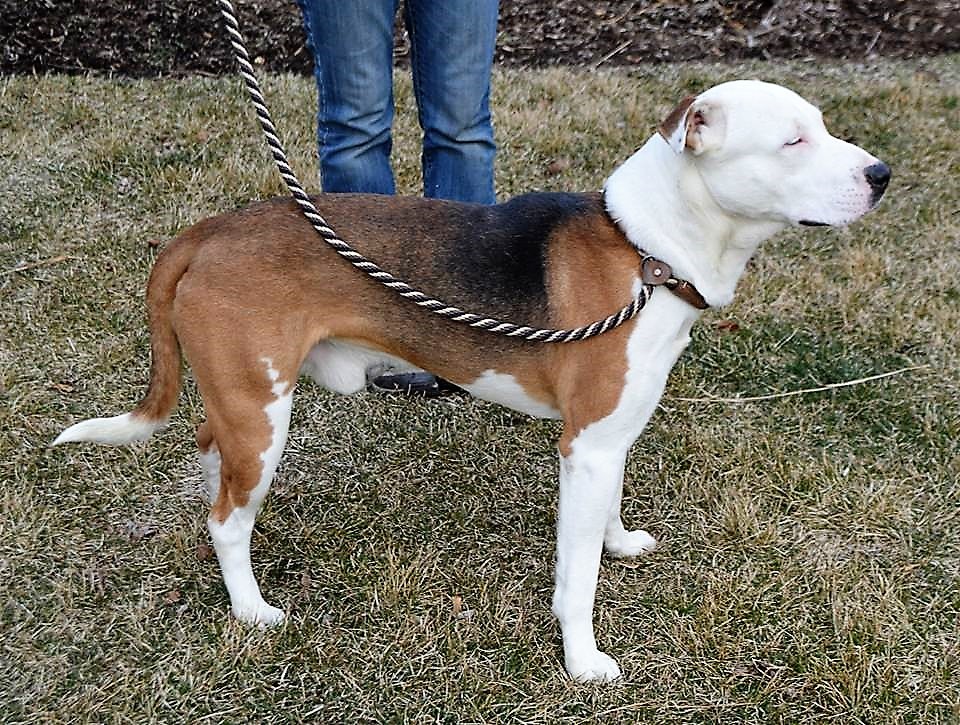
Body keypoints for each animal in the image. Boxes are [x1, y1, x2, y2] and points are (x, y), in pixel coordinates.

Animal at [56, 82, 888, 680]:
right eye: (793, 140)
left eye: (822, 125)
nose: (882, 175)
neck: (645, 251)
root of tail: (207, 232)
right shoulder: (584, 447)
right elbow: (576, 579)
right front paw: (583, 660)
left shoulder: (610, 439)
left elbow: (607, 518)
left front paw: (619, 541)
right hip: (264, 416)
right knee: (228, 521)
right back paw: (253, 607)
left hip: (241, 404)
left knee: (210, 456)